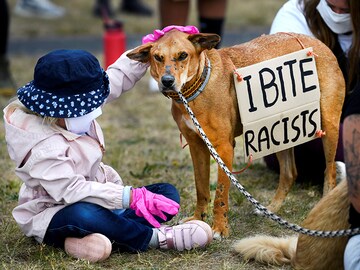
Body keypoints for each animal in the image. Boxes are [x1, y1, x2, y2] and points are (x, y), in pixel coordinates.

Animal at [126, 29, 344, 237]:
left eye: (183, 55)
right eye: (157, 57)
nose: (167, 81)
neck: (196, 89)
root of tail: (317, 42)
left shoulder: (223, 149)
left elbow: (221, 195)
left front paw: (220, 229)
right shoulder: (197, 147)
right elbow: (201, 188)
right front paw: (198, 218)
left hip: (328, 125)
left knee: (329, 171)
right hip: (279, 132)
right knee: (289, 173)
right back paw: (271, 209)